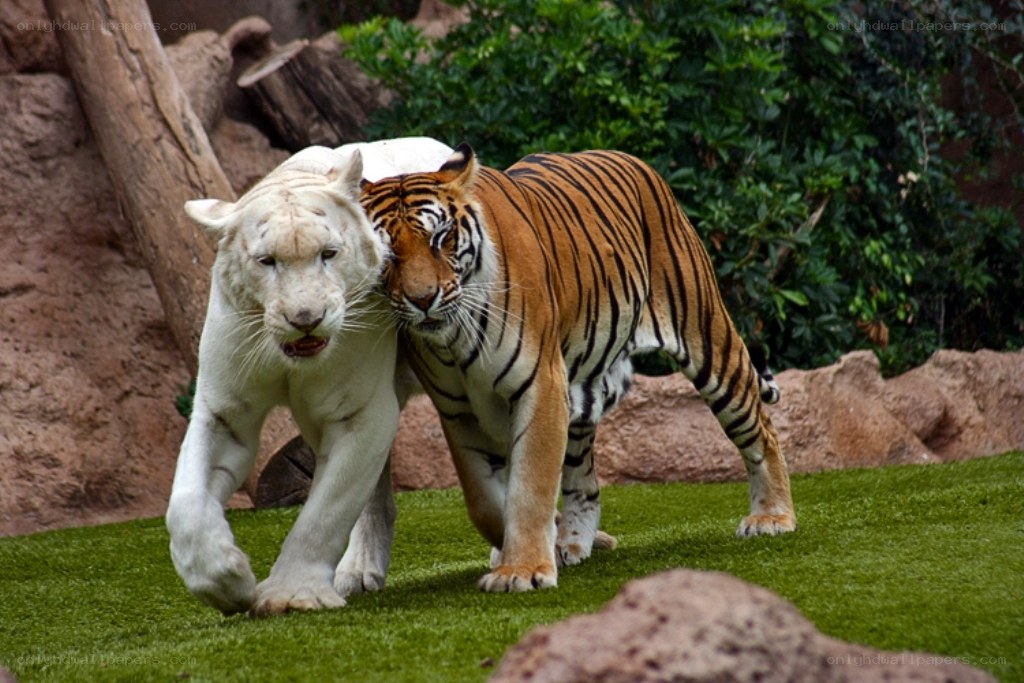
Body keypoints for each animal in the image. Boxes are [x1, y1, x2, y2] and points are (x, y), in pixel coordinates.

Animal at [360, 144, 797, 592]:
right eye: (386, 253)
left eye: (440, 238)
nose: (422, 299)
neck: (453, 338)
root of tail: (632, 158)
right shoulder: (459, 410)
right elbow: (484, 499)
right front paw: (530, 550)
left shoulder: (539, 385)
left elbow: (530, 486)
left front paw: (521, 570)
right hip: (581, 390)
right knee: (584, 481)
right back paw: (573, 543)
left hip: (707, 338)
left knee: (760, 431)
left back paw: (773, 518)